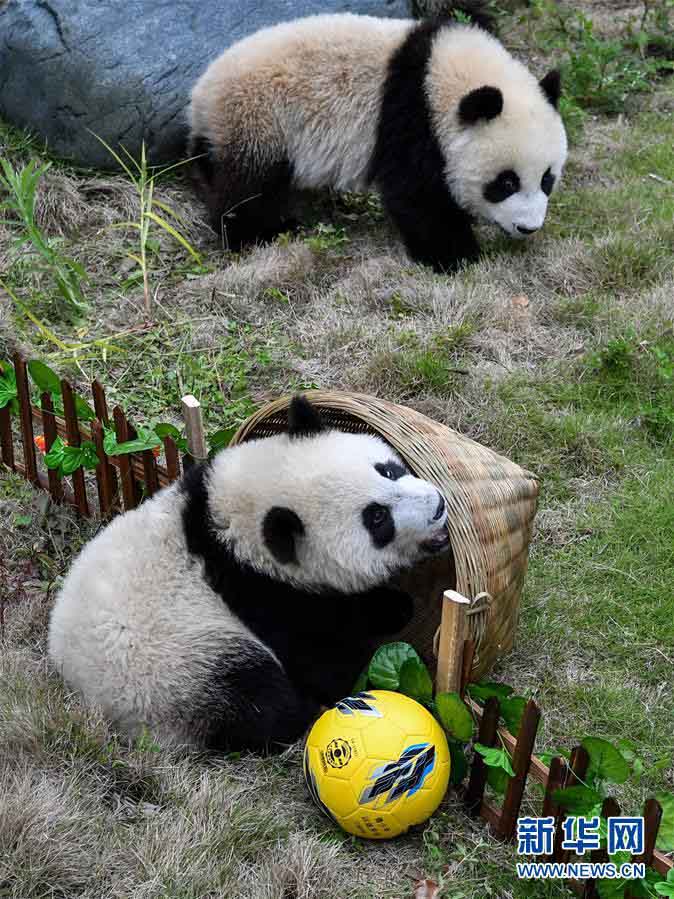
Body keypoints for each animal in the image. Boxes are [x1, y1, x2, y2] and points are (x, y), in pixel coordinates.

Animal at [46, 398, 446, 756]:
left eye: (387, 470)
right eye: (377, 518)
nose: (440, 505)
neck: (230, 521)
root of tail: (90, 700)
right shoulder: (262, 593)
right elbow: (324, 656)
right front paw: (393, 608)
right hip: (178, 670)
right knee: (257, 701)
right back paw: (301, 713)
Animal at [188, 0, 568, 274]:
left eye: (547, 179)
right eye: (506, 182)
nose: (528, 227)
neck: (445, 72)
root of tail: (200, 97)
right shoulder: (410, 117)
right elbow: (417, 195)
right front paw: (457, 256)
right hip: (260, 118)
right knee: (248, 186)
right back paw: (260, 232)